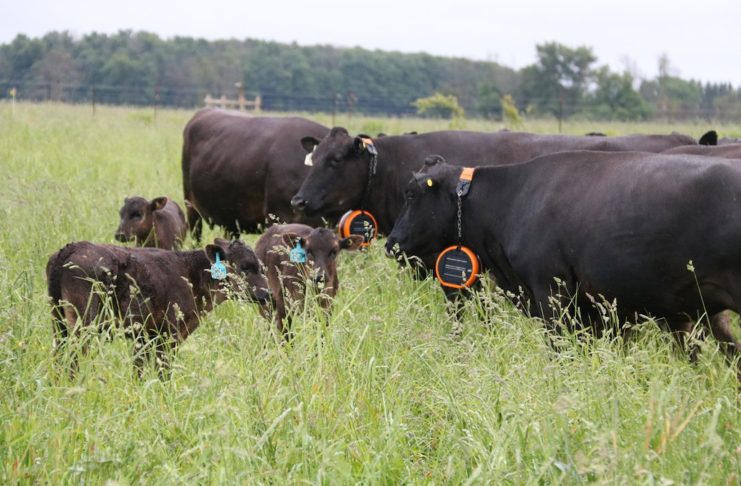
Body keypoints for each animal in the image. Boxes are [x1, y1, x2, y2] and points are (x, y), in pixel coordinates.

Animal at [46, 239, 270, 379]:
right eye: (245, 267)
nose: (266, 294)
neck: (191, 274)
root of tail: (72, 248)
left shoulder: (146, 336)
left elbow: (139, 370)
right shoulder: (169, 334)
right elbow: (164, 371)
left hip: (59, 321)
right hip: (83, 323)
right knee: (73, 356)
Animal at [385, 153, 741, 378]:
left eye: (412, 194)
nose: (391, 243)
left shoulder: (551, 293)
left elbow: (560, 353)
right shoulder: (596, 311)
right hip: (711, 311)